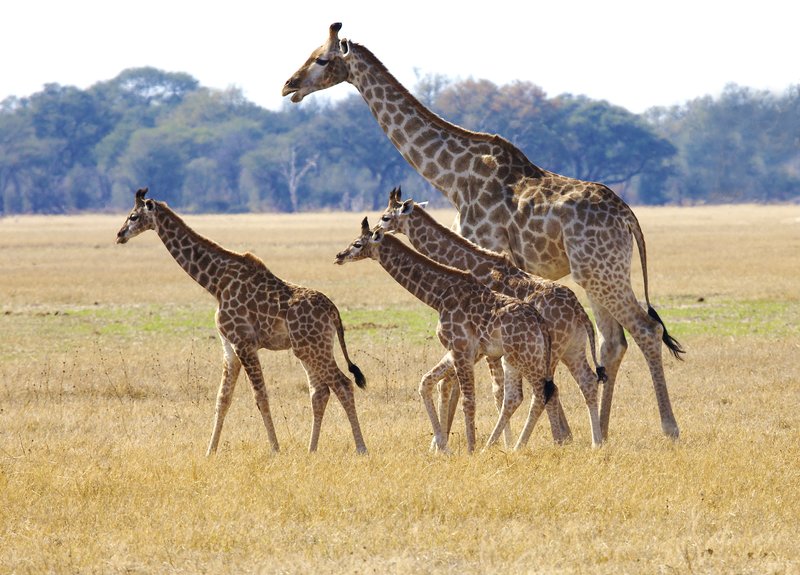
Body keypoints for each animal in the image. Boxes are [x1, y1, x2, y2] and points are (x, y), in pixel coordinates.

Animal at [115, 188, 368, 454]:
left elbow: (260, 397)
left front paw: (275, 449)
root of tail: (334, 311)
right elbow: (223, 398)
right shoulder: (229, 346)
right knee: (320, 391)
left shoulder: (244, 343)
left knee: (342, 384)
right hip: (308, 349)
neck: (216, 283)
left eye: (133, 216)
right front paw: (210, 452)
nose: (119, 235)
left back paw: (361, 448)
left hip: (313, 348)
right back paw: (311, 450)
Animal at [334, 216, 561, 454]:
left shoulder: (461, 348)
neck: (438, 295)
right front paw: (443, 446)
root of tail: (540, 323)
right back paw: (507, 446)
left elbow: (467, 400)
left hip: (526, 356)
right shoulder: (457, 350)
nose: (339, 256)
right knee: (523, 395)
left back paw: (518, 447)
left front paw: (469, 450)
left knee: (543, 393)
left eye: (358, 243)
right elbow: (426, 382)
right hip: (516, 358)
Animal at [378, 187, 605, 447]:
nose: (375, 231)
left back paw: (549, 441)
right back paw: (595, 442)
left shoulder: (480, 347)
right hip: (571, 348)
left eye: (386, 217)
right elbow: (452, 385)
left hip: (546, 350)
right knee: (586, 382)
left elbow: (488, 391)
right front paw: (441, 443)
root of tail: (578, 310)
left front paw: (488, 443)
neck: (473, 265)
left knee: (548, 390)